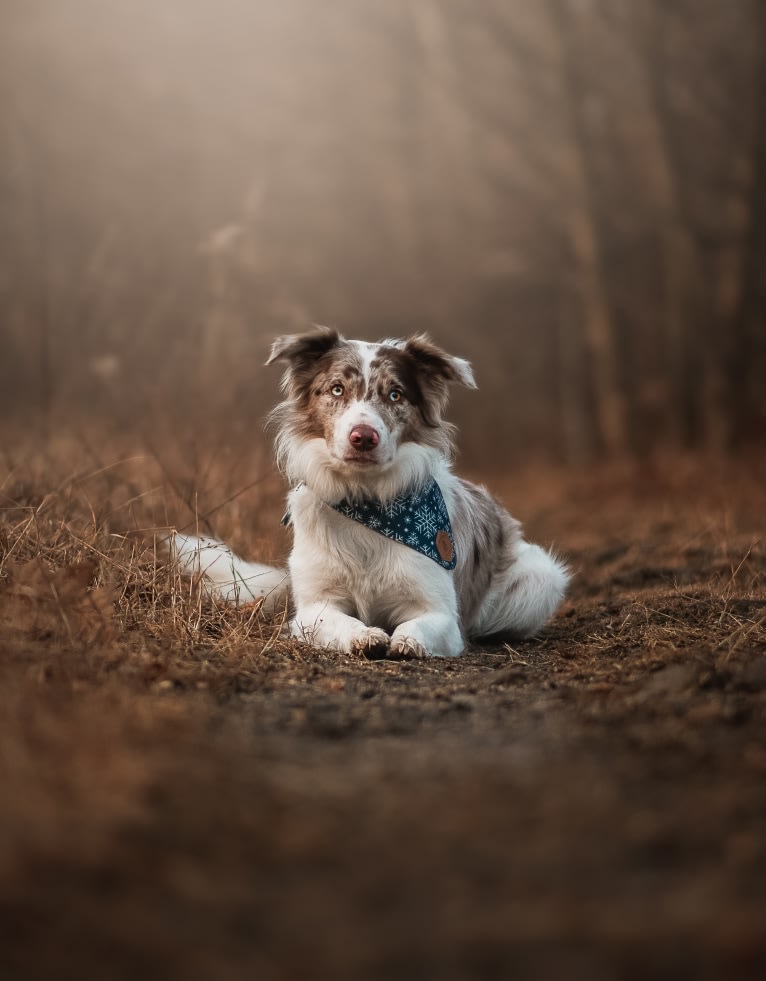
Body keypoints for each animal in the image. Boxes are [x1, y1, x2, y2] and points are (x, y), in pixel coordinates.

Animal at [171, 330, 572, 660]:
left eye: (395, 394)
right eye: (336, 389)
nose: (363, 437)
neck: (365, 499)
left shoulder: (441, 611)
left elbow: (419, 625)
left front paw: (407, 640)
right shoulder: (314, 606)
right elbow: (338, 621)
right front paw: (364, 636)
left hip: (541, 577)